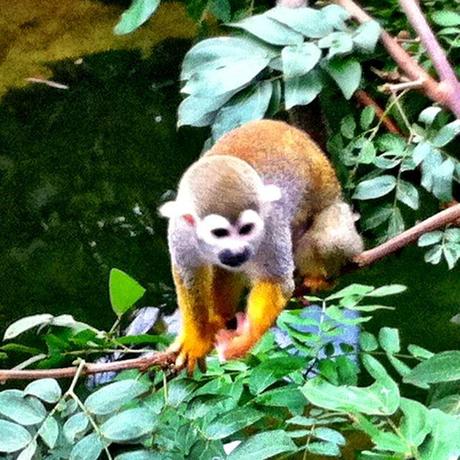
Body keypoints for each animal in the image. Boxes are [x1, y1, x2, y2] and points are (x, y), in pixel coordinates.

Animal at [160, 120, 362, 372]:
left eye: (247, 228)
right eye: (219, 233)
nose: (238, 251)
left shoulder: (271, 222)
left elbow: (276, 280)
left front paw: (245, 339)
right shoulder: (180, 230)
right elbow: (189, 275)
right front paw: (196, 338)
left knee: (332, 239)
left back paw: (320, 277)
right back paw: (220, 318)